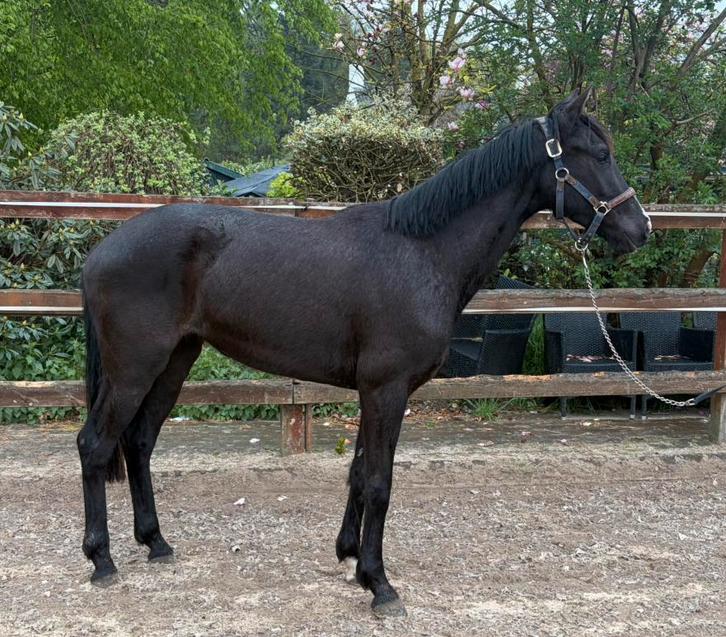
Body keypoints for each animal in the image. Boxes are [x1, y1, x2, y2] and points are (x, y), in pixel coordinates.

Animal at [77, 89, 651, 617]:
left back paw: (156, 542)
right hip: (135, 367)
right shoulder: (386, 390)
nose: (639, 229)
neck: (422, 251)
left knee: (140, 442)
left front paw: (350, 556)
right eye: (600, 153)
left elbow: (356, 473)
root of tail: (101, 251)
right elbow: (378, 482)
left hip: (175, 361)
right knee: (96, 445)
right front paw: (379, 584)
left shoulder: (371, 392)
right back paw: (101, 559)